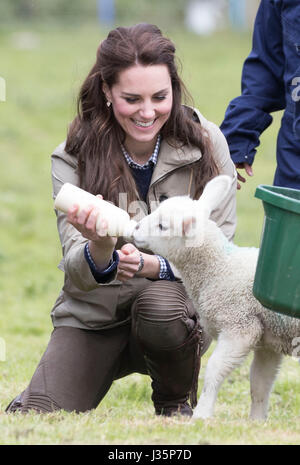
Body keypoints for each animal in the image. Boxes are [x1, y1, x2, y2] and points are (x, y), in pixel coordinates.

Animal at [133, 175, 300, 420]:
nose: (134, 228)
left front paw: (202, 414)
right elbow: (260, 382)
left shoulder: (239, 326)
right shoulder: (268, 338)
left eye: (162, 226)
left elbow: (214, 370)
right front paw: (257, 421)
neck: (220, 268)